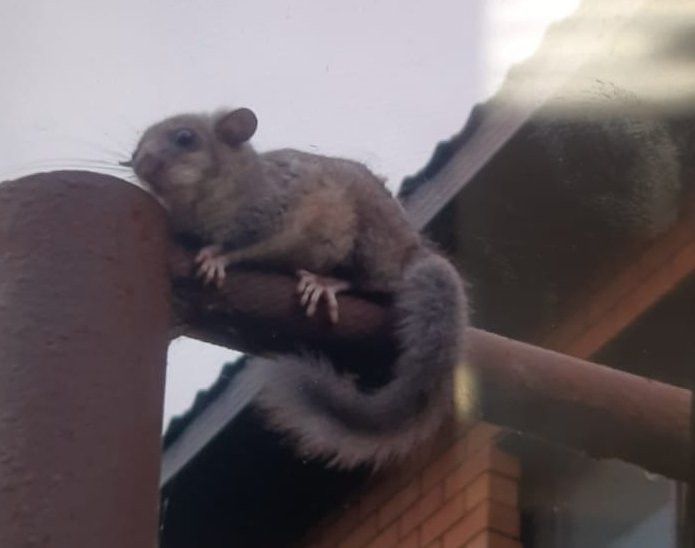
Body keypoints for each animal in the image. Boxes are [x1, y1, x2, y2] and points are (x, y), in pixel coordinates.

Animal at [126, 107, 469, 468]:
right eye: (137, 149)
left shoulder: (272, 214)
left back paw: (325, 283)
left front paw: (215, 257)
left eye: (185, 138)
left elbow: (243, 245)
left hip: (369, 241)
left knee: (377, 283)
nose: (137, 162)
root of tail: (415, 252)